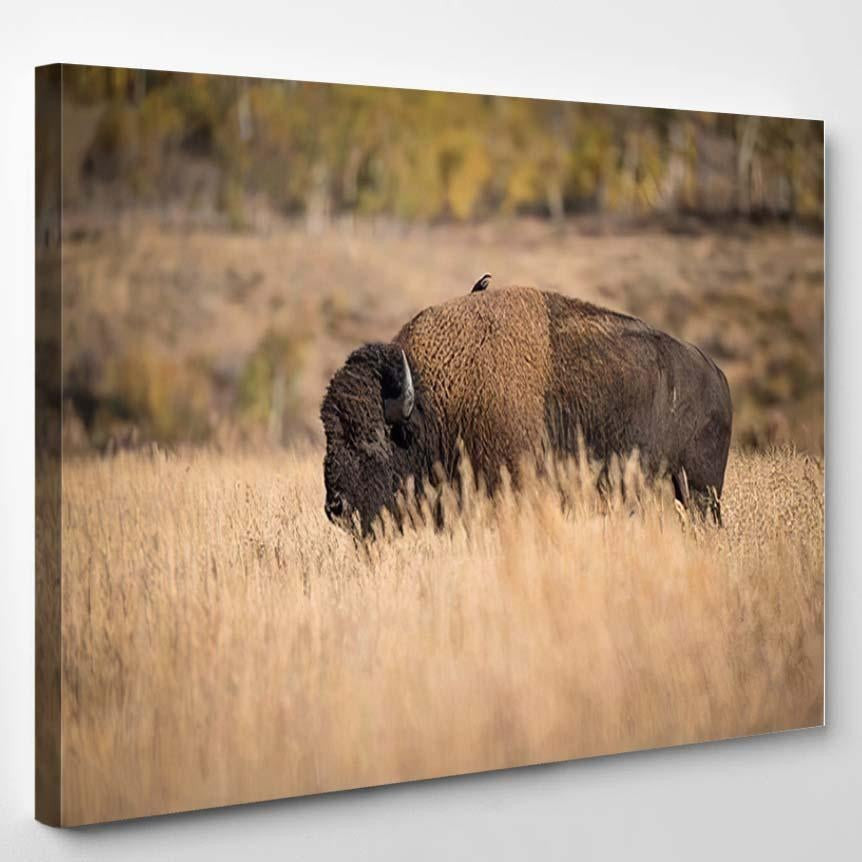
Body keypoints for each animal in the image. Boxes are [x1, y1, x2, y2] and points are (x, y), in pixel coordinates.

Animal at [320, 285, 732, 536]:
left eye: (373, 437)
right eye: (330, 434)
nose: (335, 507)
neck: (432, 397)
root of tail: (716, 373)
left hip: (700, 490)